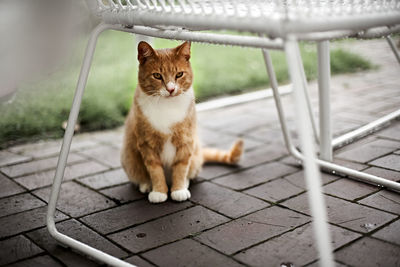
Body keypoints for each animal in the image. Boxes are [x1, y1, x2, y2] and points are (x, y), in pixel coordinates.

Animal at [120, 40, 244, 203]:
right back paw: (146, 185)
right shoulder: (147, 144)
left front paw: (178, 190)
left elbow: (181, 168)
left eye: (179, 74)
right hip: (128, 157)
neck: (167, 106)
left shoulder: (186, 141)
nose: (171, 89)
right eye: (157, 75)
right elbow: (155, 170)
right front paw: (159, 191)